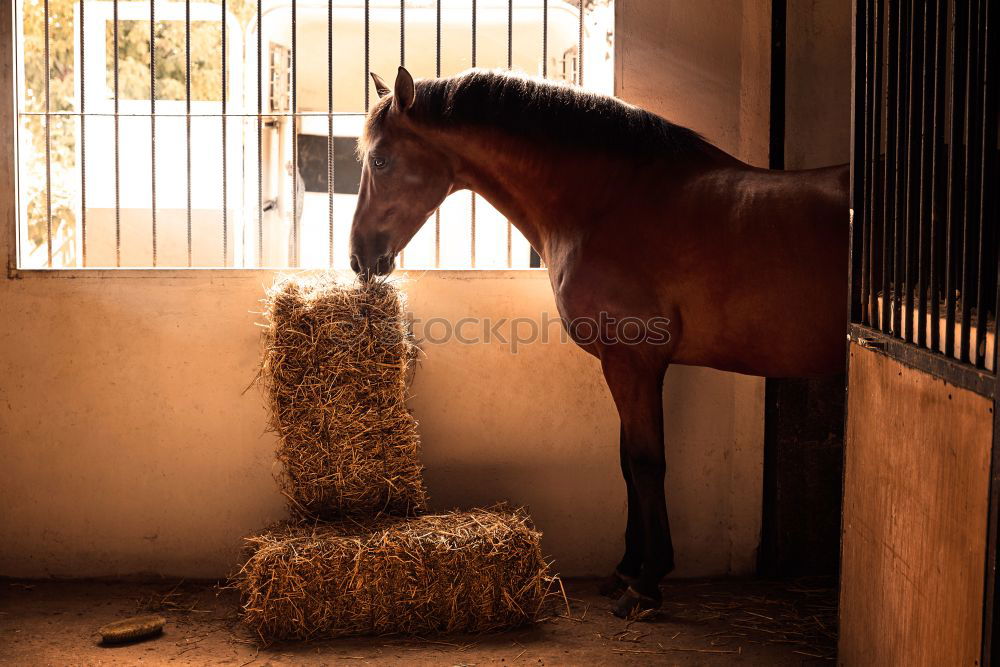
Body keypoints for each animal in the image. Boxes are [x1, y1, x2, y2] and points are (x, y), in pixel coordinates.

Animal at [348, 66, 848, 616]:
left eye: (380, 159)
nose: (359, 257)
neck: (608, 204)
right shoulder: (628, 365)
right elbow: (627, 463)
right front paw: (626, 569)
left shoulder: (633, 361)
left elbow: (646, 463)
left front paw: (647, 583)